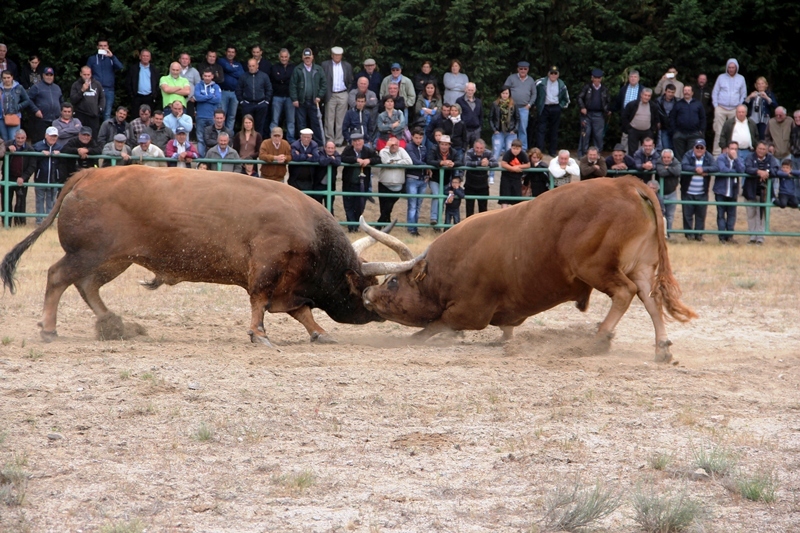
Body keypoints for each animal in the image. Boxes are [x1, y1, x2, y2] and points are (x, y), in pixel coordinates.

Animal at [0, 166, 422, 344]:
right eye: (363, 287)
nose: (376, 312)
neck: (311, 232)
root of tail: (88, 174)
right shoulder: (267, 269)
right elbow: (260, 302)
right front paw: (258, 334)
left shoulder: (291, 284)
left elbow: (301, 311)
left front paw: (319, 332)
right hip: (88, 253)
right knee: (58, 277)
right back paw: (49, 328)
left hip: (115, 259)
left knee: (87, 286)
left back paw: (114, 324)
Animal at [360, 176, 696, 362]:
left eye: (392, 281)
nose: (367, 292)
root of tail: (626, 184)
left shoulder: (468, 313)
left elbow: (428, 329)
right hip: (642, 266)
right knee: (651, 300)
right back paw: (661, 347)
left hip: (595, 267)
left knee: (625, 292)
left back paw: (599, 338)